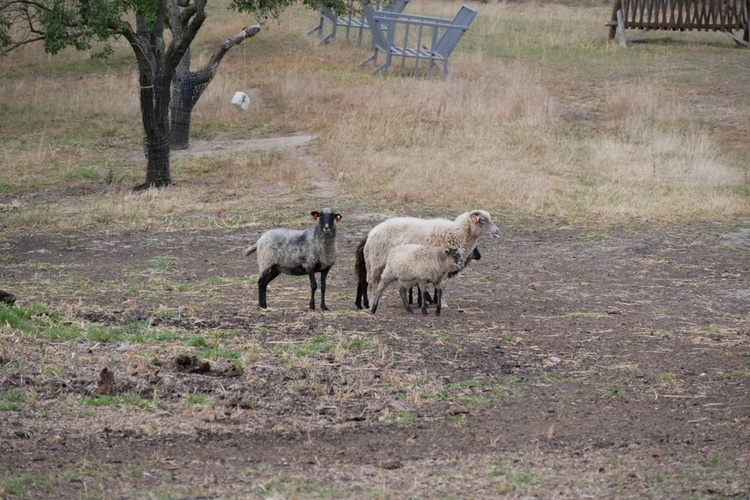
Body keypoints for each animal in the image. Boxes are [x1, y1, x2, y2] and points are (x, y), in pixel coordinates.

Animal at [362, 209, 502, 306]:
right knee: (372, 283)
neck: (459, 233)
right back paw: (372, 302)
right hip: (377, 261)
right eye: (483, 220)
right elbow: (442, 285)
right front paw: (443, 304)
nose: (497, 231)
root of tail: (372, 232)